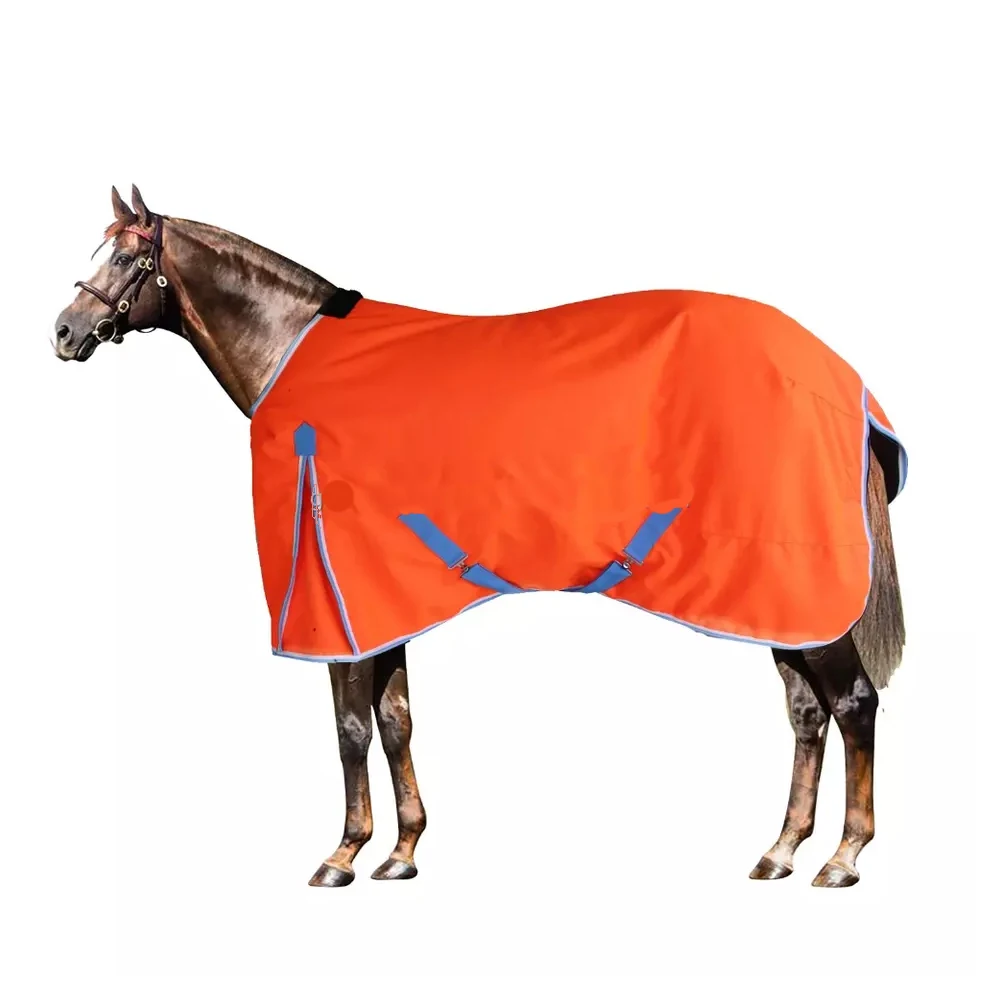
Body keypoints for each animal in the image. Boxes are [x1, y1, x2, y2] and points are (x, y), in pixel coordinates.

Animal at [53, 185, 906, 889]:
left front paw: (342, 855)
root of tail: (842, 379)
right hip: (772, 603)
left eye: (126, 257)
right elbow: (395, 720)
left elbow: (351, 728)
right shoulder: (380, 605)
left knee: (854, 702)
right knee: (806, 712)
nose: (64, 331)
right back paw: (781, 851)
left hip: (805, 594)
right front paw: (401, 852)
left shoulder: (337, 603)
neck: (296, 355)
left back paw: (842, 857)